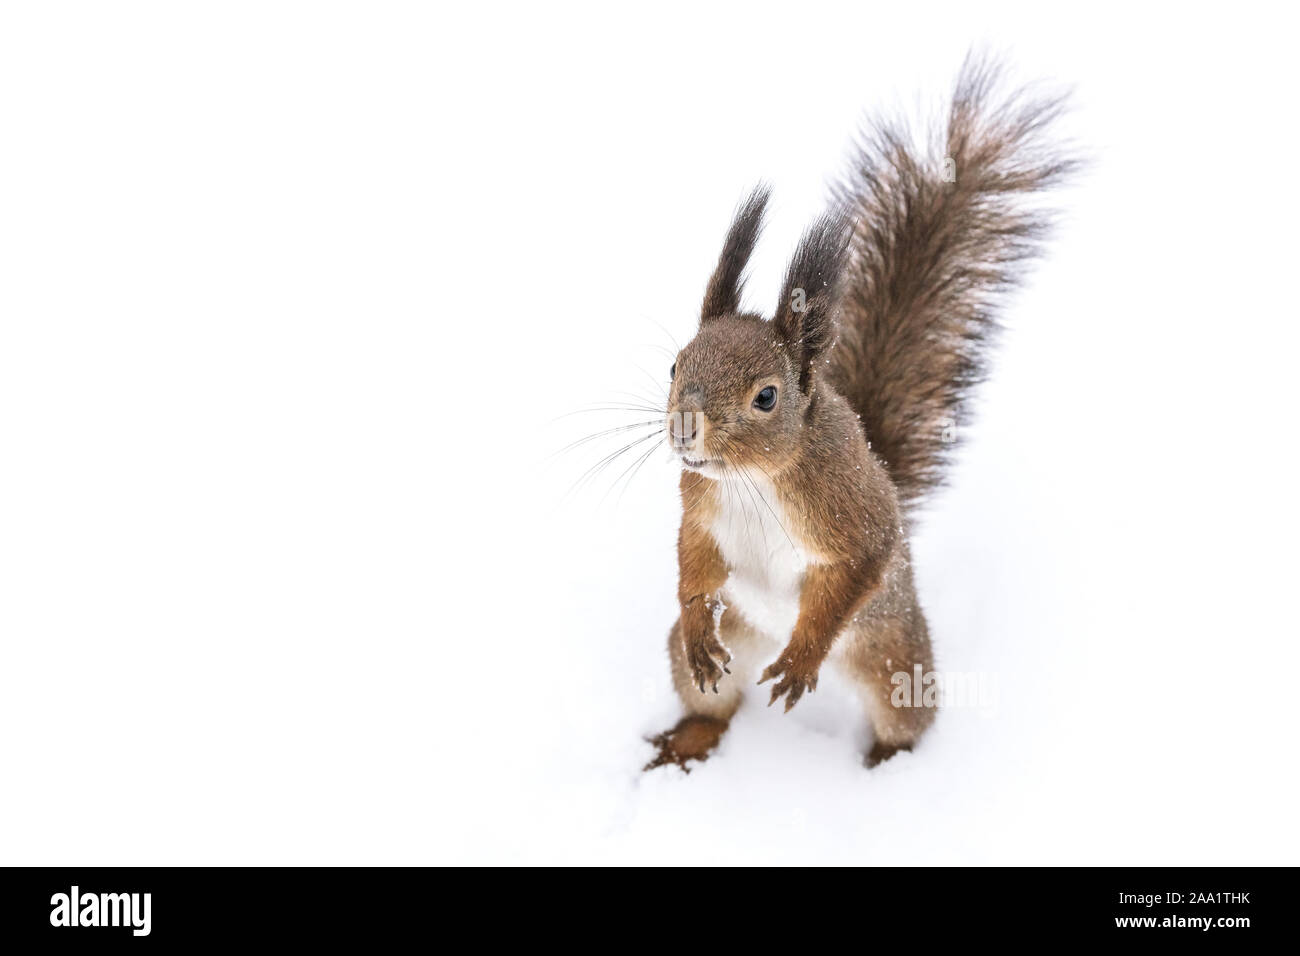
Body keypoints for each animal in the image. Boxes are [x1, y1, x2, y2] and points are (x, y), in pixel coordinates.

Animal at [644, 57, 1076, 771]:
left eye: (767, 396)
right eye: (676, 366)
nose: (686, 429)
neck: (752, 479)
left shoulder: (852, 516)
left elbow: (852, 576)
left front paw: (802, 659)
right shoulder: (700, 504)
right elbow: (693, 560)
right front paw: (700, 623)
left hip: (893, 655)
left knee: (905, 717)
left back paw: (884, 764)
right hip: (713, 656)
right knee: (713, 702)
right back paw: (689, 737)